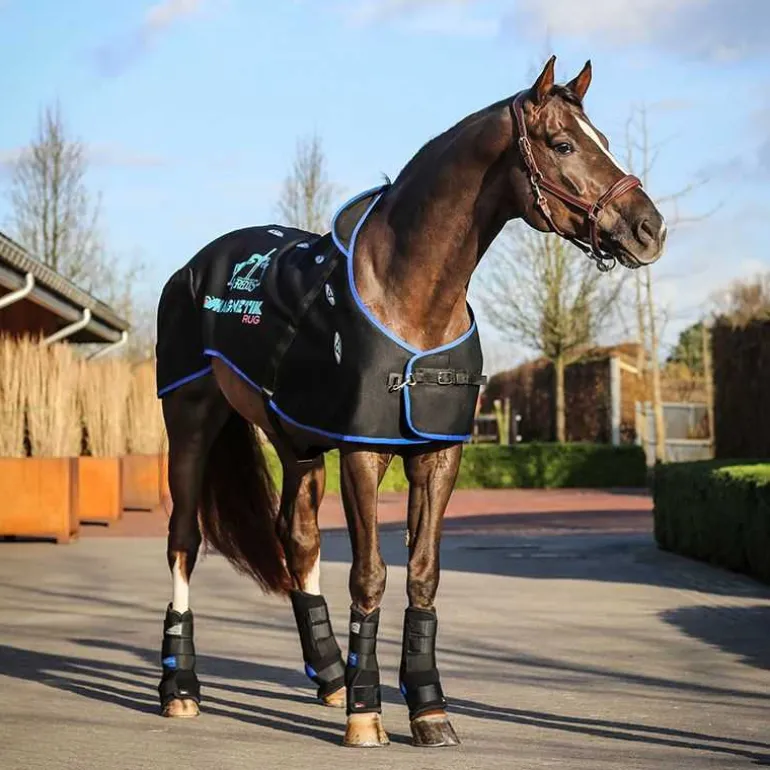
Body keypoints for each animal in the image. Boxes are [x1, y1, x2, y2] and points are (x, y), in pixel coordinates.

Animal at [153, 55, 666, 749]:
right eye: (563, 144)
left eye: (605, 141)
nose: (649, 229)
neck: (408, 296)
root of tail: (193, 266)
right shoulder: (363, 454)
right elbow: (370, 574)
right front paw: (367, 714)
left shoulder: (437, 455)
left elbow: (423, 571)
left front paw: (426, 707)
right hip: (191, 420)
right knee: (184, 538)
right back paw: (181, 688)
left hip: (297, 444)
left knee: (298, 539)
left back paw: (330, 675)